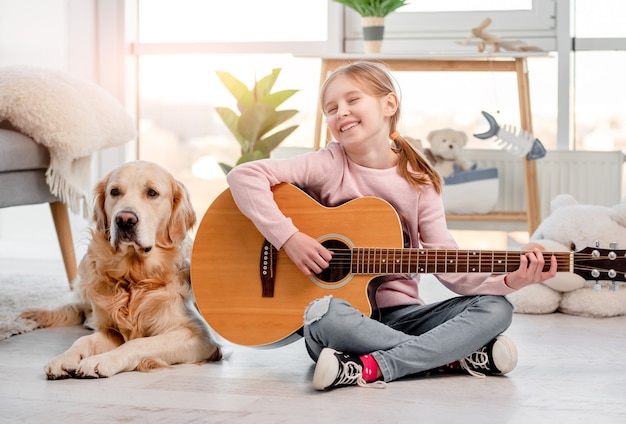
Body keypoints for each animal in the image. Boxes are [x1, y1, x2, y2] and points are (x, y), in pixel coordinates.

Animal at [20, 161, 221, 380]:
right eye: (114, 192)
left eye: (152, 193)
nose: (124, 219)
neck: (135, 278)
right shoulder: (112, 329)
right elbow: (84, 340)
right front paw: (64, 358)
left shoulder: (199, 336)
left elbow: (139, 342)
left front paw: (101, 361)